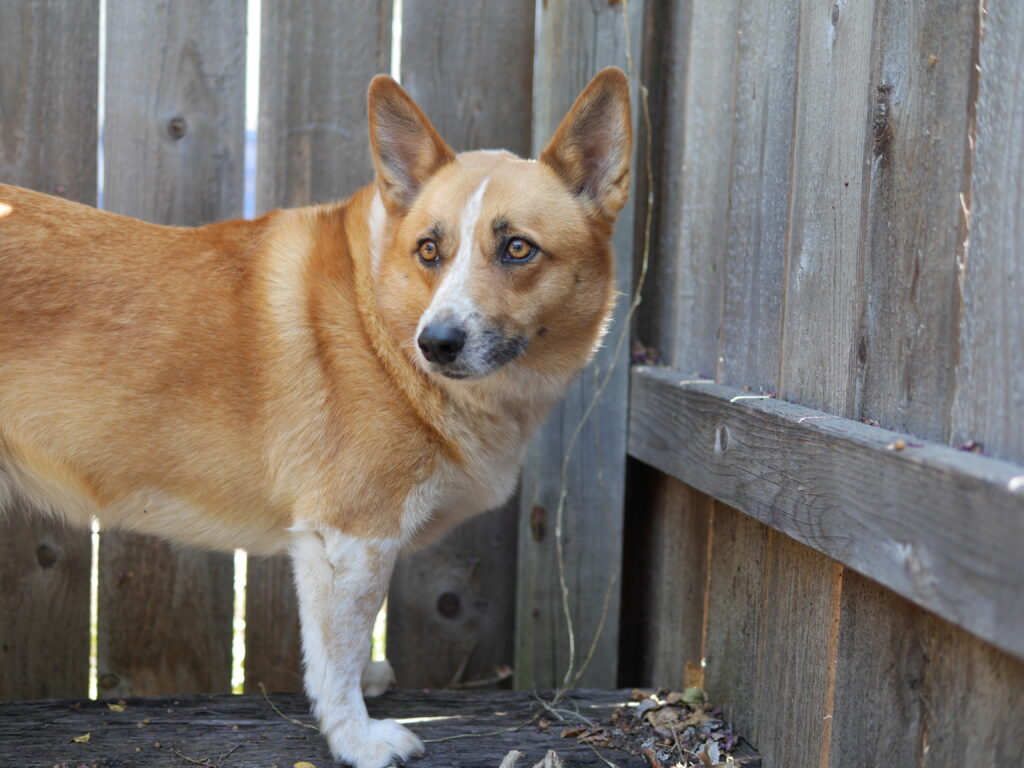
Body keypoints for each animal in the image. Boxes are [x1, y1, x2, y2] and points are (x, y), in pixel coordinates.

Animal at [0, 67, 631, 767]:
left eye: (518, 248)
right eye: (429, 250)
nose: (436, 344)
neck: (377, 311)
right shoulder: (349, 537)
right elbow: (340, 650)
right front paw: (356, 737)